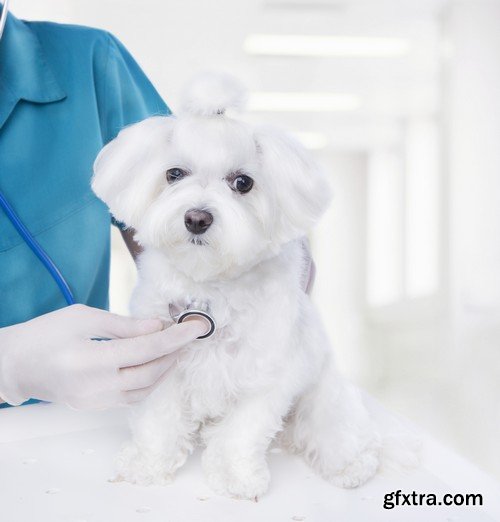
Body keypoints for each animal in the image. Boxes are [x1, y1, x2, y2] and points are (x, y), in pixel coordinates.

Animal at [93, 71, 382, 498]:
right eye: (174, 174)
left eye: (242, 182)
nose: (197, 218)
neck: (211, 286)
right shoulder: (162, 365)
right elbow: (158, 421)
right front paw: (147, 464)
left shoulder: (266, 376)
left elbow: (242, 432)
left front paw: (235, 476)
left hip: (323, 396)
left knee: (336, 429)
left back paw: (350, 464)